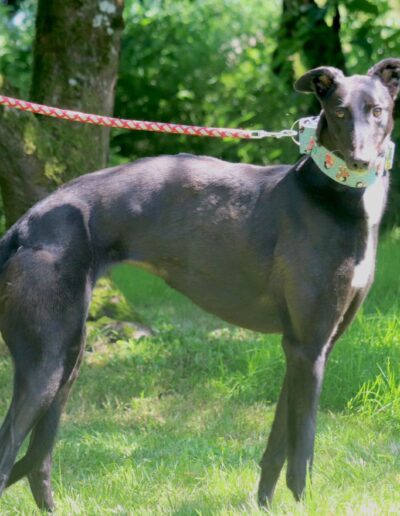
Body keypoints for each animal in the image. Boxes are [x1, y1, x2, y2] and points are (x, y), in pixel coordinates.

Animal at [0, 58, 398, 511]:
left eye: (377, 110)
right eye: (338, 111)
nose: (360, 160)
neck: (333, 195)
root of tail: (23, 225)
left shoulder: (306, 349)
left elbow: (278, 447)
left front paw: (263, 506)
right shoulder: (308, 346)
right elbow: (302, 453)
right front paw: (302, 505)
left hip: (69, 357)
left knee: (38, 460)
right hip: (45, 364)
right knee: (10, 454)